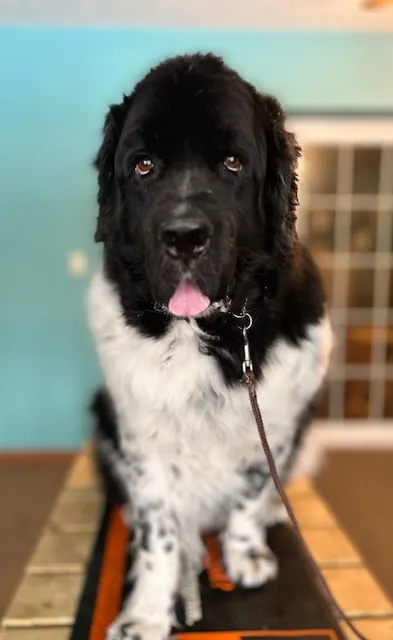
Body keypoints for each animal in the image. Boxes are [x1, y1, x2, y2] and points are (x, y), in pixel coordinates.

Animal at [88, 53, 330, 640]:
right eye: (144, 166)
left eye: (232, 163)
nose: (183, 236)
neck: (210, 328)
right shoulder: (139, 429)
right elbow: (158, 527)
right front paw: (146, 613)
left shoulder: (279, 418)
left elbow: (249, 492)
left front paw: (245, 554)